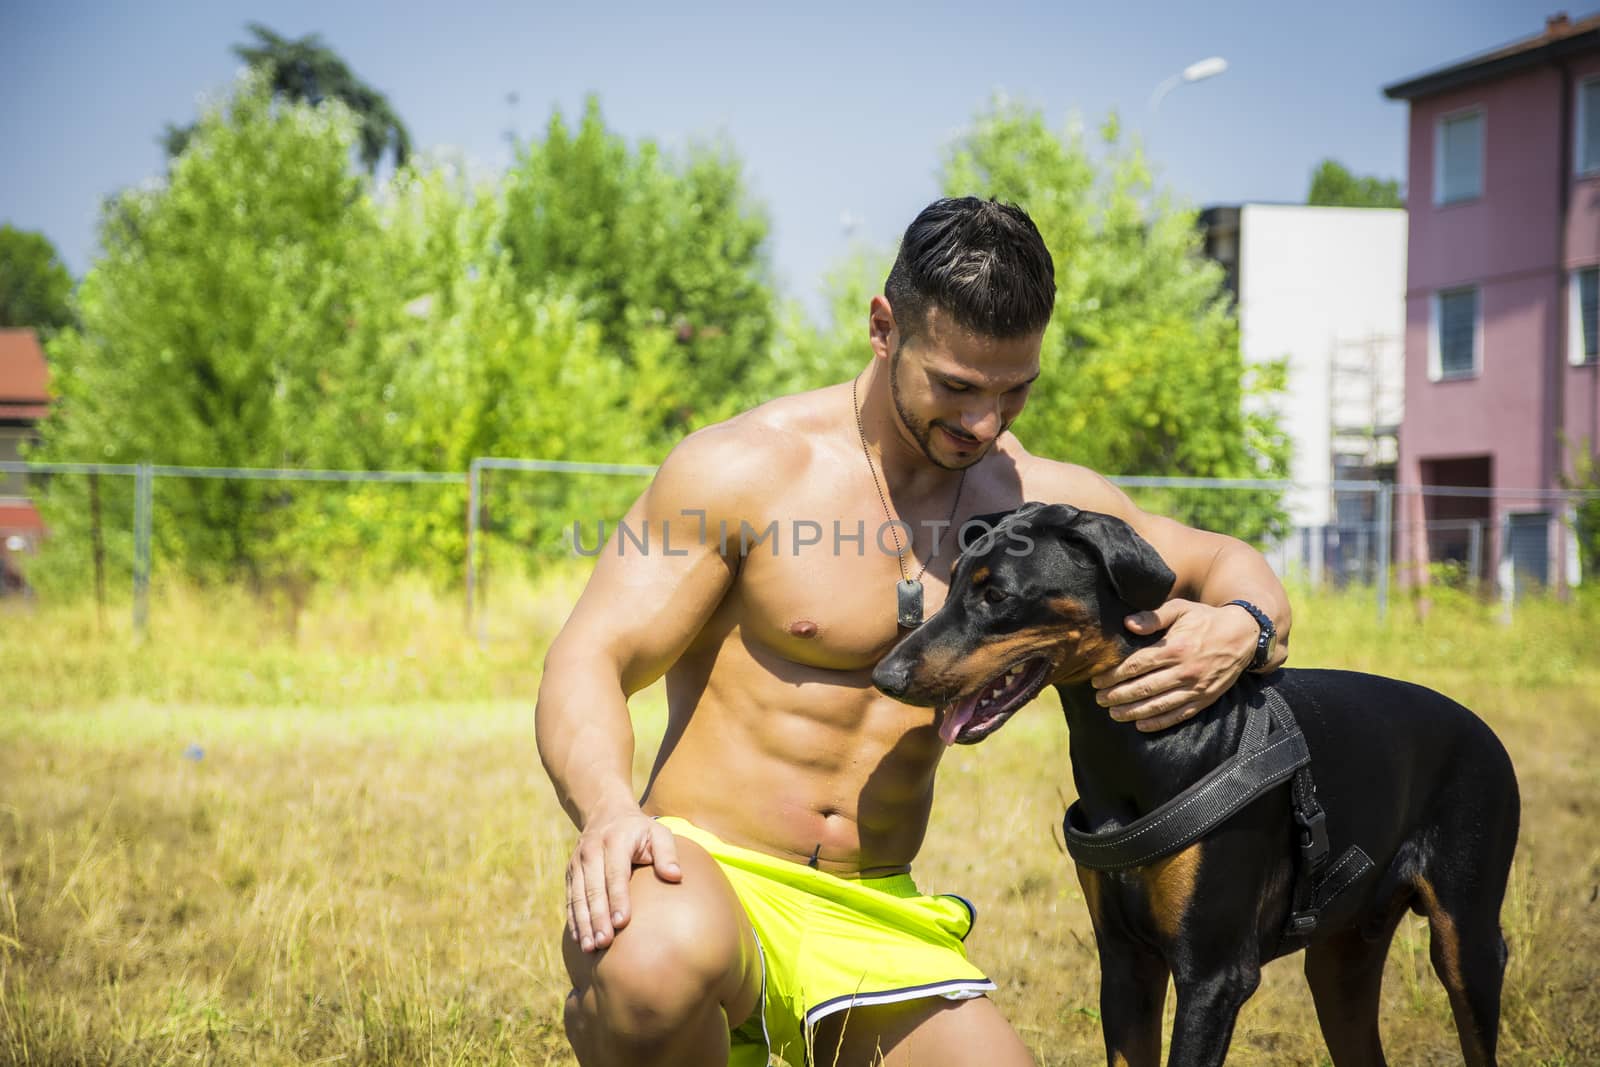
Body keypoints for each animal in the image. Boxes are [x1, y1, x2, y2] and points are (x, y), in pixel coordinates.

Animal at [870, 505, 1516, 1067]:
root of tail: (1483, 729)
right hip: (1342, 959)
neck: (1140, 747)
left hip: (1467, 941)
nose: (884, 676)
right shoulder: (1124, 962)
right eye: (952, 583)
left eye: (997, 595)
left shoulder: (1214, 975)